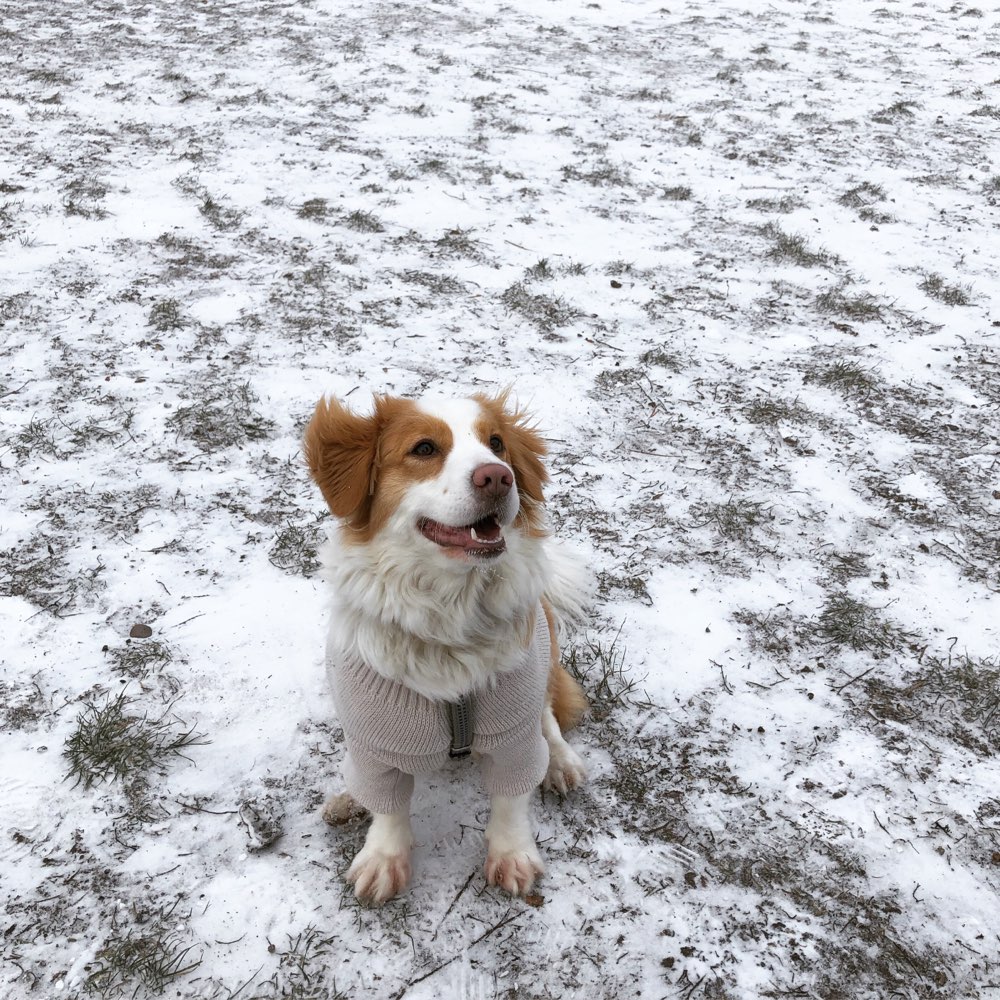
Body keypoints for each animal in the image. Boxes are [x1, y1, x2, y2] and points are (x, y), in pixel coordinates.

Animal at [302, 392, 584, 908]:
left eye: (496, 442)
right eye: (424, 449)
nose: (498, 476)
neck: (449, 617)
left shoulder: (514, 732)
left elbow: (511, 797)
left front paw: (512, 854)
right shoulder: (375, 739)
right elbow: (388, 806)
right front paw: (383, 858)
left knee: (550, 717)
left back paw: (561, 763)